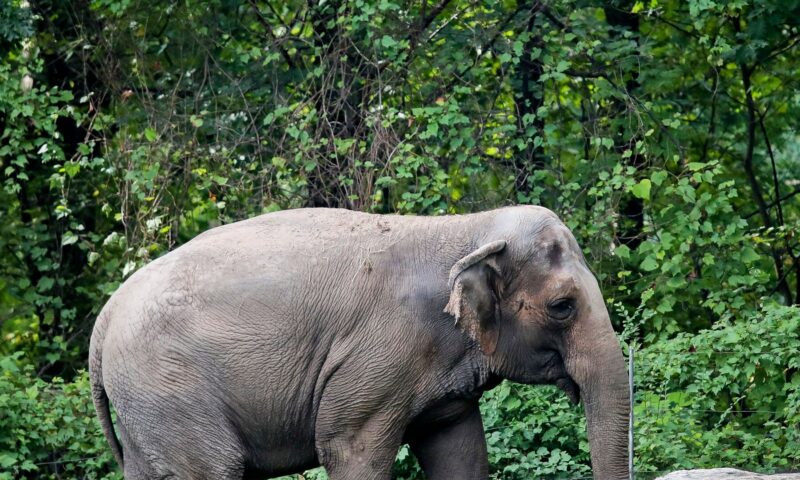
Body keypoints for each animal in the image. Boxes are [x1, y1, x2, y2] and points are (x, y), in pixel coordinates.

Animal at [89, 206, 630, 480]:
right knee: (213, 469)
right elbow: (351, 450)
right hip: (169, 391)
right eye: (562, 306)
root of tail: (104, 320)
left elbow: (460, 450)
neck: (464, 226)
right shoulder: (380, 356)